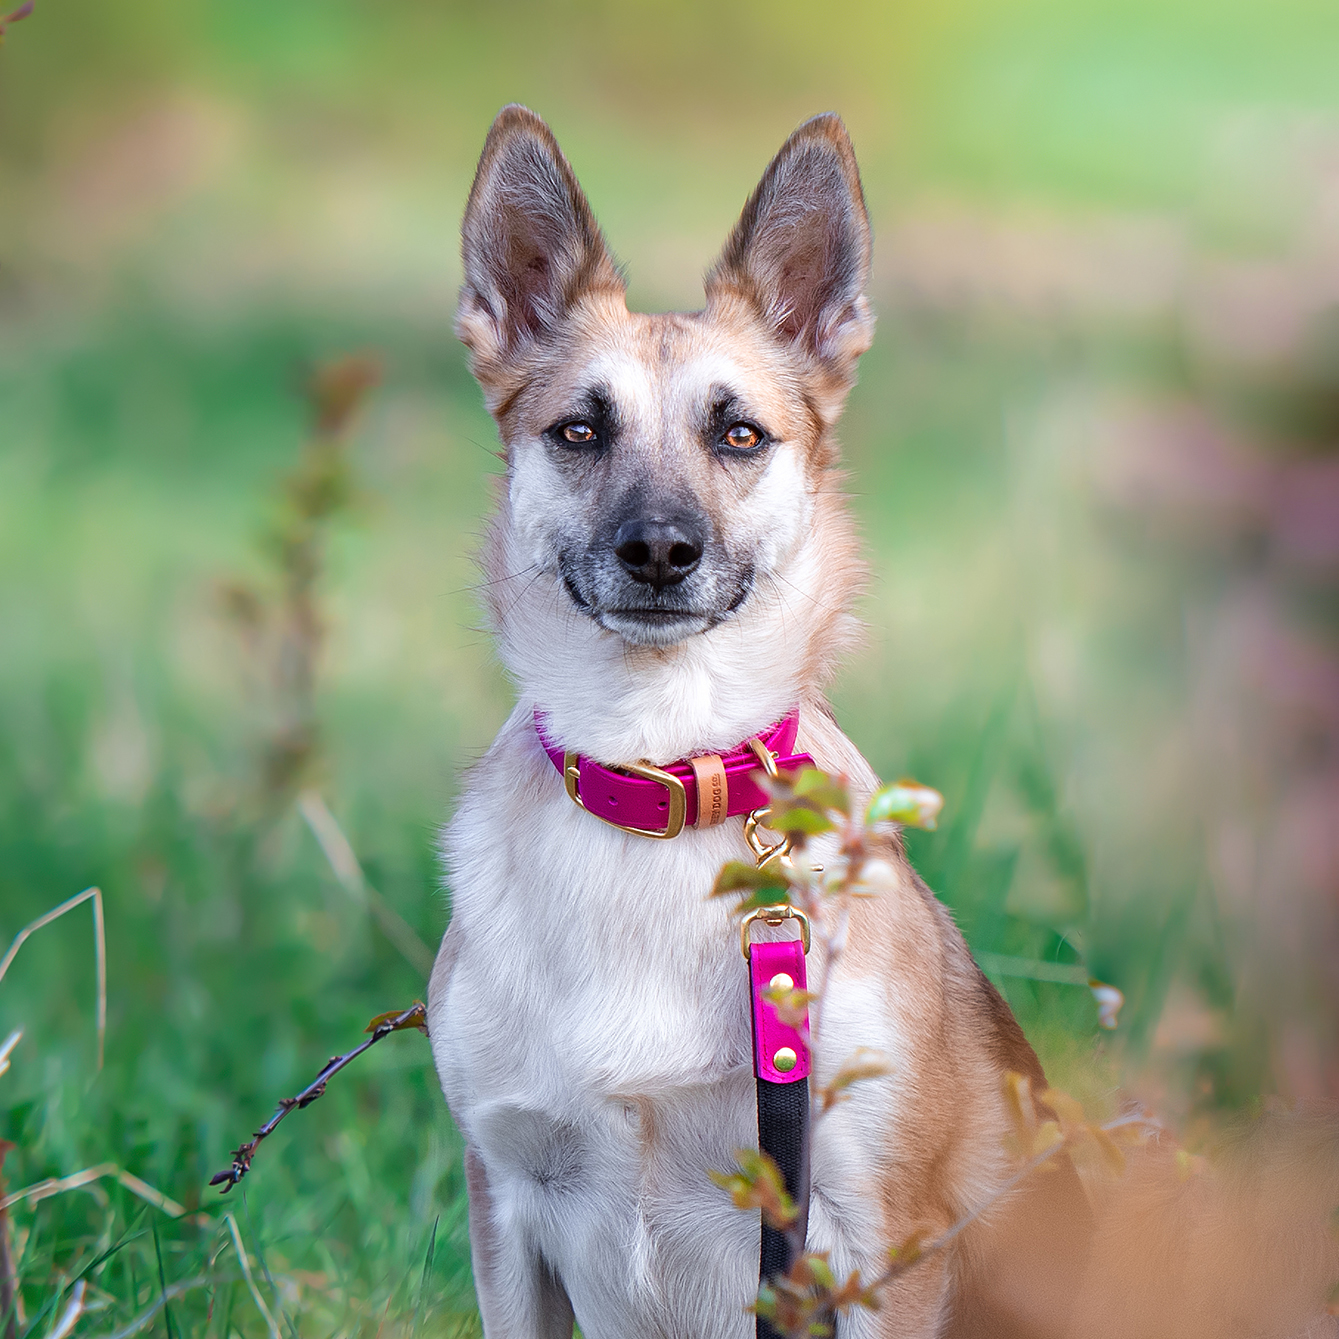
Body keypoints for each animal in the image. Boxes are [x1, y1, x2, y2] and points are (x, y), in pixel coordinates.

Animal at [426, 105, 1097, 1339]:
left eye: (738, 436)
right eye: (579, 432)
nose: (658, 549)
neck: (662, 766)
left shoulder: (876, 1237)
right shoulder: (505, 1194)